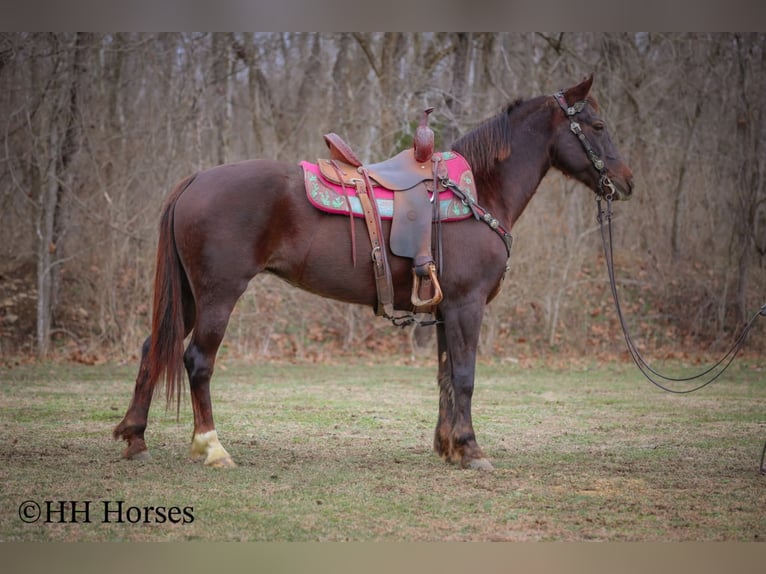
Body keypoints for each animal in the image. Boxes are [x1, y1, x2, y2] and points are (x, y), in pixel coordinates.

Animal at [113, 75, 634, 470]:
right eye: (599, 124)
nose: (626, 182)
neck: (478, 192)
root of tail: (196, 179)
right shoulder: (466, 305)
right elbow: (465, 375)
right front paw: (470, 450)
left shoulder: (444, 310)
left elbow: (445, 377)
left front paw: (447, 446)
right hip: (218, 295)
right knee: (197, 361)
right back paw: (213, 448)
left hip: (188, 295)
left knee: (152, 349)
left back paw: (135, 437)